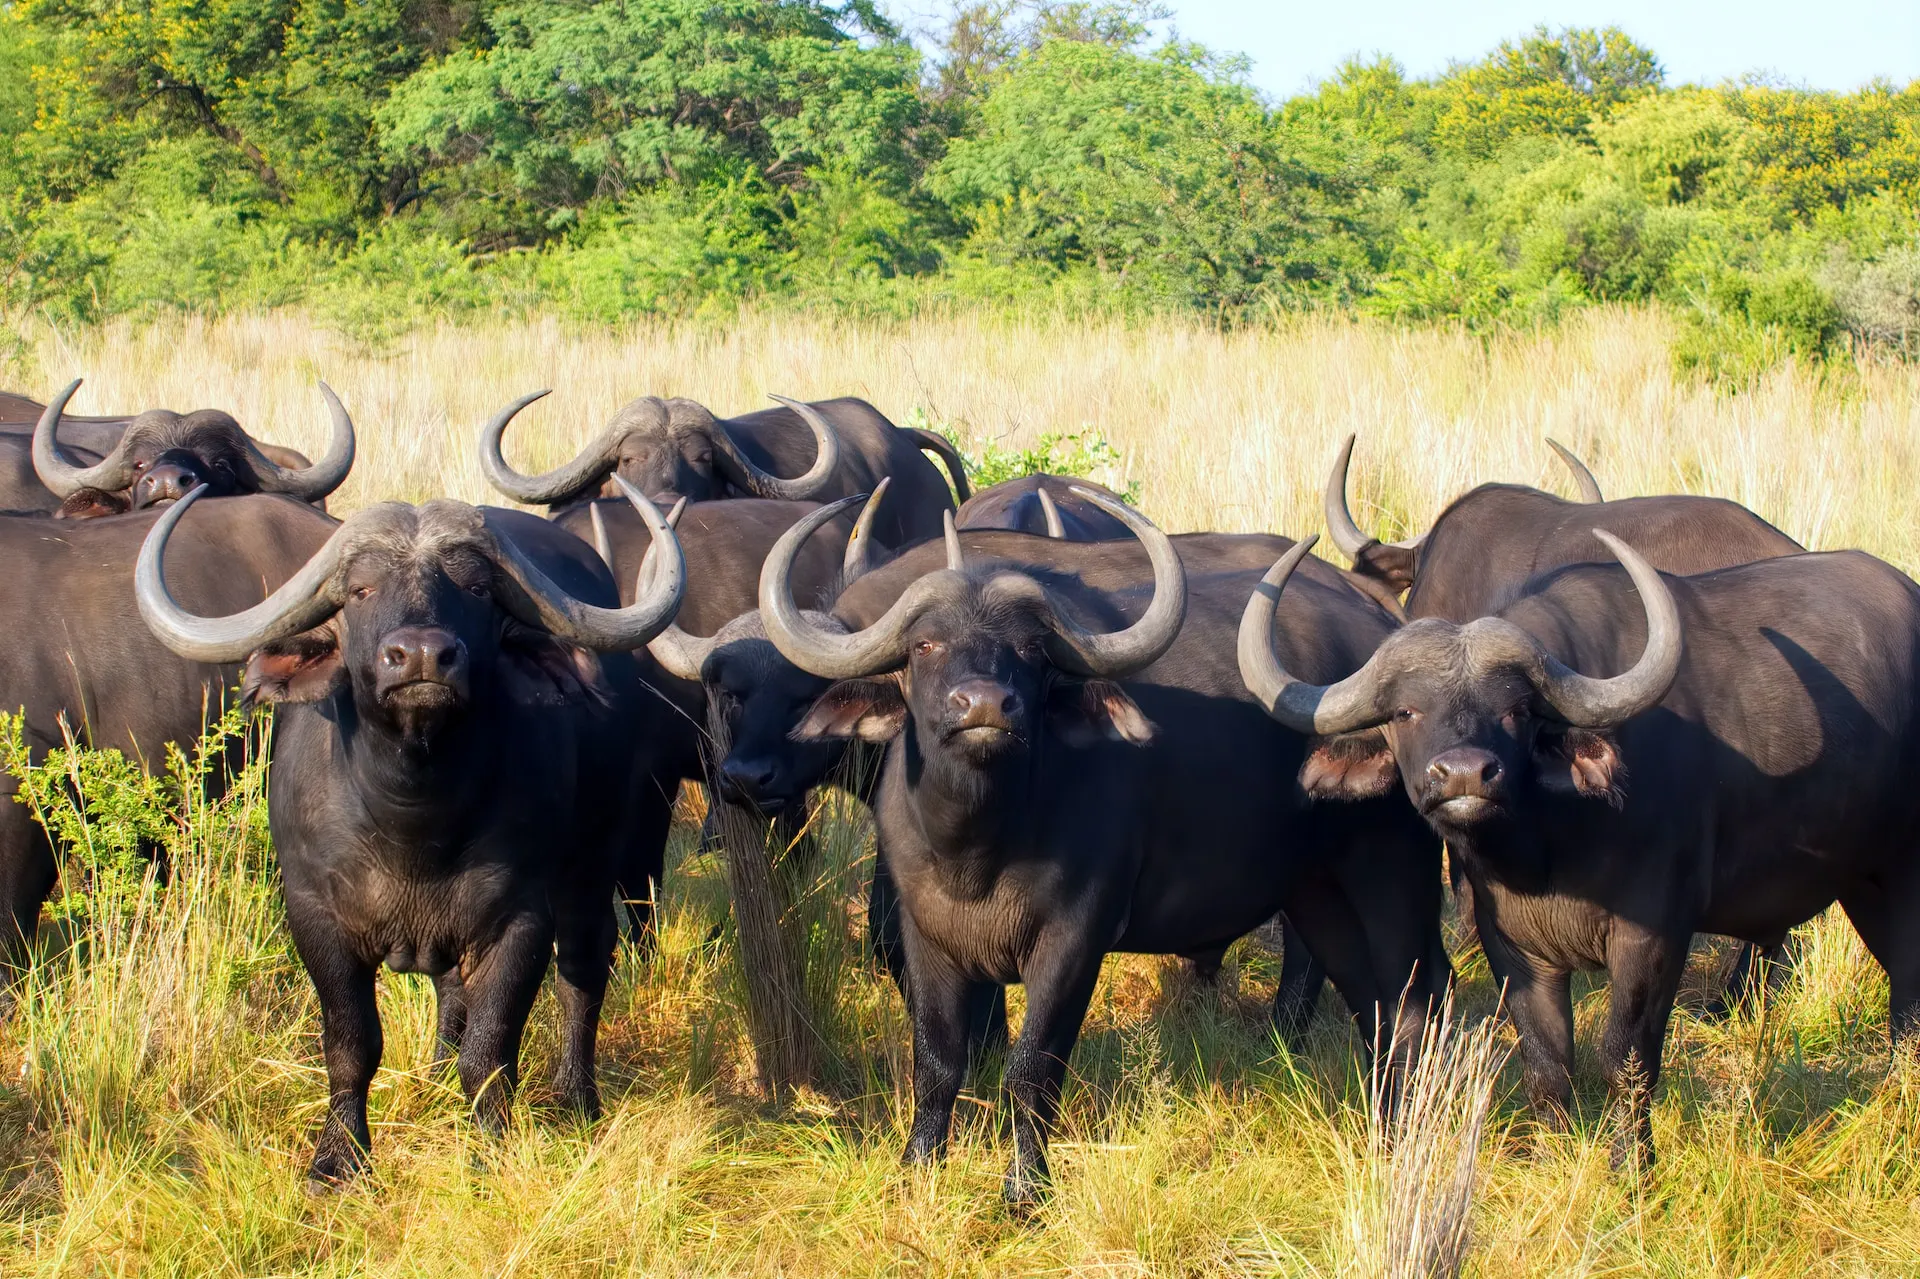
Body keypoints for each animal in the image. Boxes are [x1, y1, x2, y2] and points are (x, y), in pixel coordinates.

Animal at [760, 487, 1443, 1206]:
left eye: (1031, 649)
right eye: (924, 643)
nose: (985, 706)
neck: (977, 849)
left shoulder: (1073, 941)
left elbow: (1031, 1067)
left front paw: (1024, 1191)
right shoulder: (927, 939)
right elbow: (938, 1061)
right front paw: (918, 1168)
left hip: (1392, 876)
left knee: (1415, 1002)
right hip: (1317, 893)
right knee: (1365, 1000)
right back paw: (1377, 1124)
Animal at [1236, 530, 1920, 1167]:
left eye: (1517, 710)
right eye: (1405, 710)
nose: (1464, 775)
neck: (1549, 853)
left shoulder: (1654, 937)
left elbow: (1626, 1058)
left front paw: (1632, 1167)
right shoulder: (1512, 944)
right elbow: (1546, 1060)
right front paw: (1554, 1152)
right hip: (1863, 885)